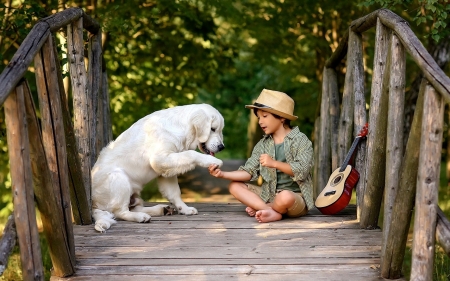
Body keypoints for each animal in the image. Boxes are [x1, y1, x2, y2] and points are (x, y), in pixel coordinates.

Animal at [91, 104, 225, 231]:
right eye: (212, 129)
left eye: (219, 130)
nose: (222, 147)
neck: (181, 128)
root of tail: (93, 204)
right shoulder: (159, 159)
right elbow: (191, 154)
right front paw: (213, 161)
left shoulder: (166, 169)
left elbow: (174, 193)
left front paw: (184, 209)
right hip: (118, 177)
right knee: (120, 212)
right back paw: (141, 217)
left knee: (134, 208)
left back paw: (162, 209)